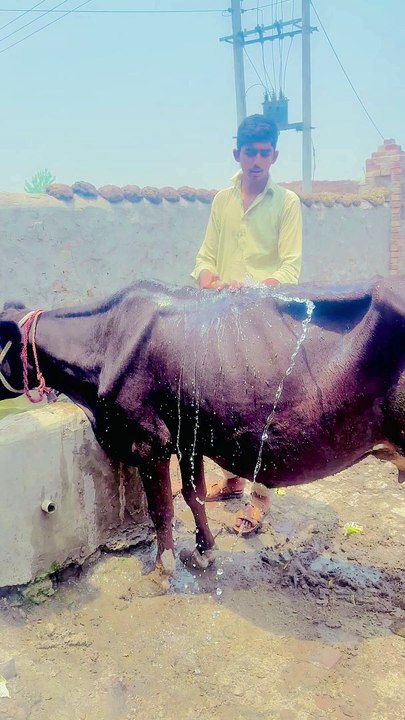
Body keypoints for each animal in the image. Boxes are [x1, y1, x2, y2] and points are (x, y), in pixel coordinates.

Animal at [1, 277, 405, 581]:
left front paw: (161, 570)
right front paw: (203, 553)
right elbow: (193, 495)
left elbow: (162, 508)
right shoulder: (189, 436)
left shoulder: (150, 441)